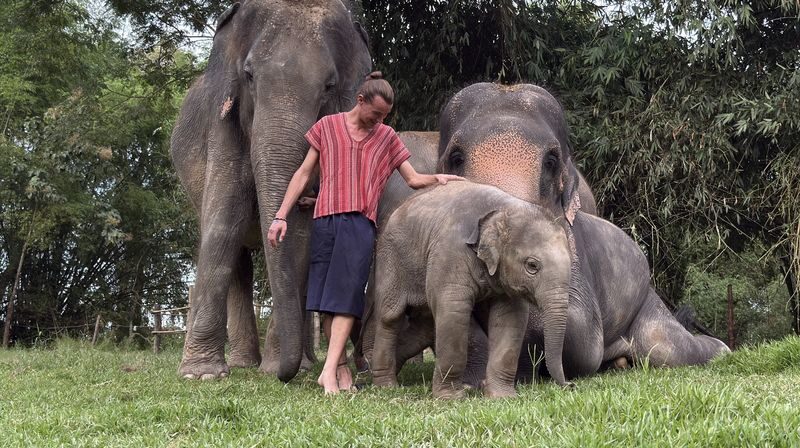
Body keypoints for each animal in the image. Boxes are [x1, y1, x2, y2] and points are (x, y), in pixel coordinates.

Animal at [170, 0, 372, 380]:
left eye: (329, 85)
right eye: (249, 76)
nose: (282, 375)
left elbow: (304, 232)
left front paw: (276, 368)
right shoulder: (223, 121)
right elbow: (225, 215)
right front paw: (200, 375)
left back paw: (301, 362)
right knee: (238, 258)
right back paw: (242, 363)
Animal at [371, 182, 573, 398]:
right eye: (532, 266)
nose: (570, 385)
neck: (504, 208)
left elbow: (510, 318)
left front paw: (501, 396)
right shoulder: (451, 252)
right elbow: (454, 311)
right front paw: (451, 398)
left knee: (424, 326)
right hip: (390, 259)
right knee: (390, 317)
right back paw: (386, 385)